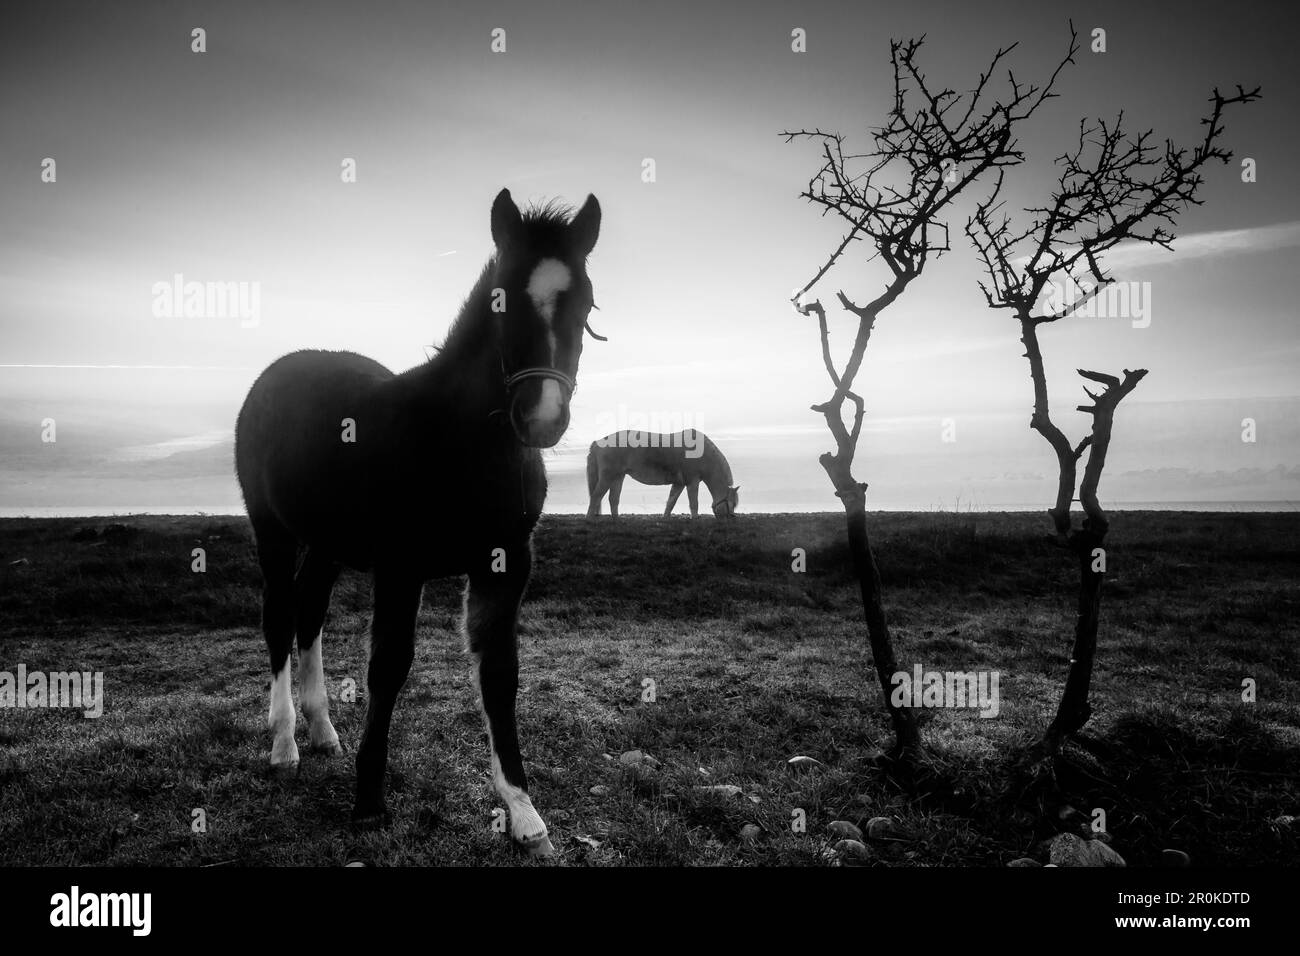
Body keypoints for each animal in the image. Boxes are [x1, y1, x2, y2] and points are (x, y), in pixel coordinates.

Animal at [233, 187, 598, 858]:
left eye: (586, 301)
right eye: (500, 299)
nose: (541, 417)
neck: (458, 440)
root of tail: (280, 371)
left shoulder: (506, 566)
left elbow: (499, 675)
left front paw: (523, 812)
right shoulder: (401, 568)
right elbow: (388, 669)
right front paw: (369, 802)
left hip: (327, 541)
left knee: (309, 609)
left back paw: (322, 730)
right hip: (272, 528)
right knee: (278, 616)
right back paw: (285, 745)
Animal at [585, 431, 738, 520]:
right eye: (731, 503)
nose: (732, 518)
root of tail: (598, 443)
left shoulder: (679, 484)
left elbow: (671, 501)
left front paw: (665, 518)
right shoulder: (692, 482)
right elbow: (694, 503)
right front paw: (695, 519)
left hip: (618, 477)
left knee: (613, 498)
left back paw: (616, 519)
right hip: (608, 477)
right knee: (596, 496)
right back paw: (589, 519)